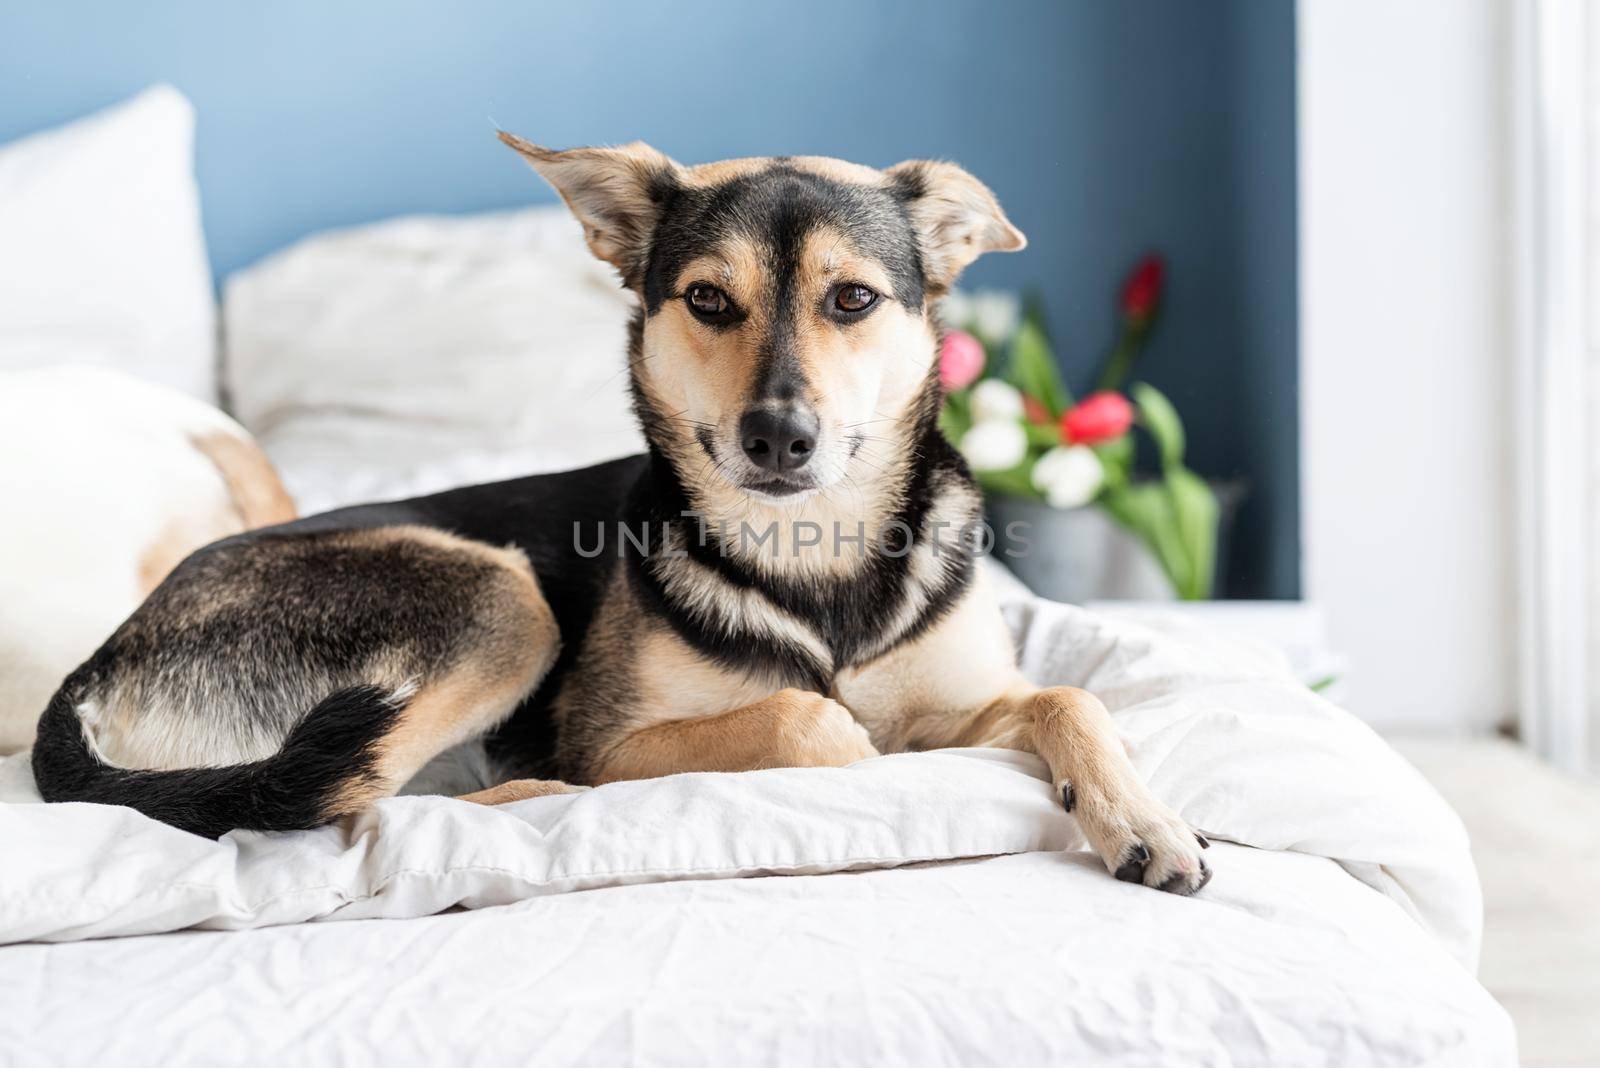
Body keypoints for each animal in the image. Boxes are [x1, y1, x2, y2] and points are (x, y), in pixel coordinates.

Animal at [31, 135, 1203, 901]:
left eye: (854, 301)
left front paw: (1142, 819)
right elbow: (816, 721)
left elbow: (1066, 699)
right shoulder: (613, 739)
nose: (780, 438)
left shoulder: (970, 697)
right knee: (362, 800)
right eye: (708, 301)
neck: (814, 561)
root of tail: (92, 672)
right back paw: (526, 797)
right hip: (497, 600)